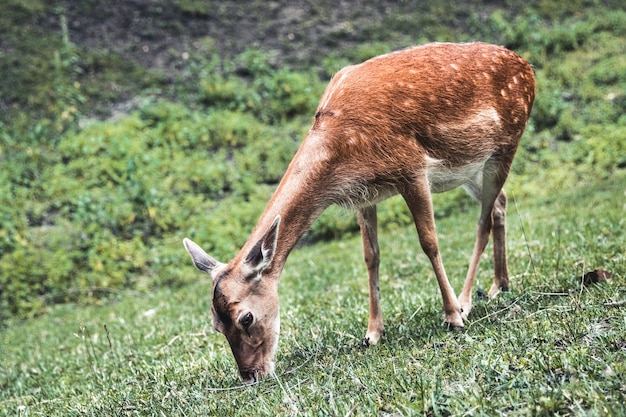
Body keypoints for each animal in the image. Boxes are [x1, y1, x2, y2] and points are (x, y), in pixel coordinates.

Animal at [180, 42, 532, 384]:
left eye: (246, 317)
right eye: (216, 324)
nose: (251, 375)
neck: (343, 154)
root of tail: (526, 66)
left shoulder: (412, 167)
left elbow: (429, 242)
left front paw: (452, 316)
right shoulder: (365, 195)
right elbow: (370, 256)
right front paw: (372, 333)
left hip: (506, 144)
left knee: (483, 220)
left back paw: (466, 302)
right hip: (471, 169)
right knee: (500, 204)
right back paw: (500, 284)